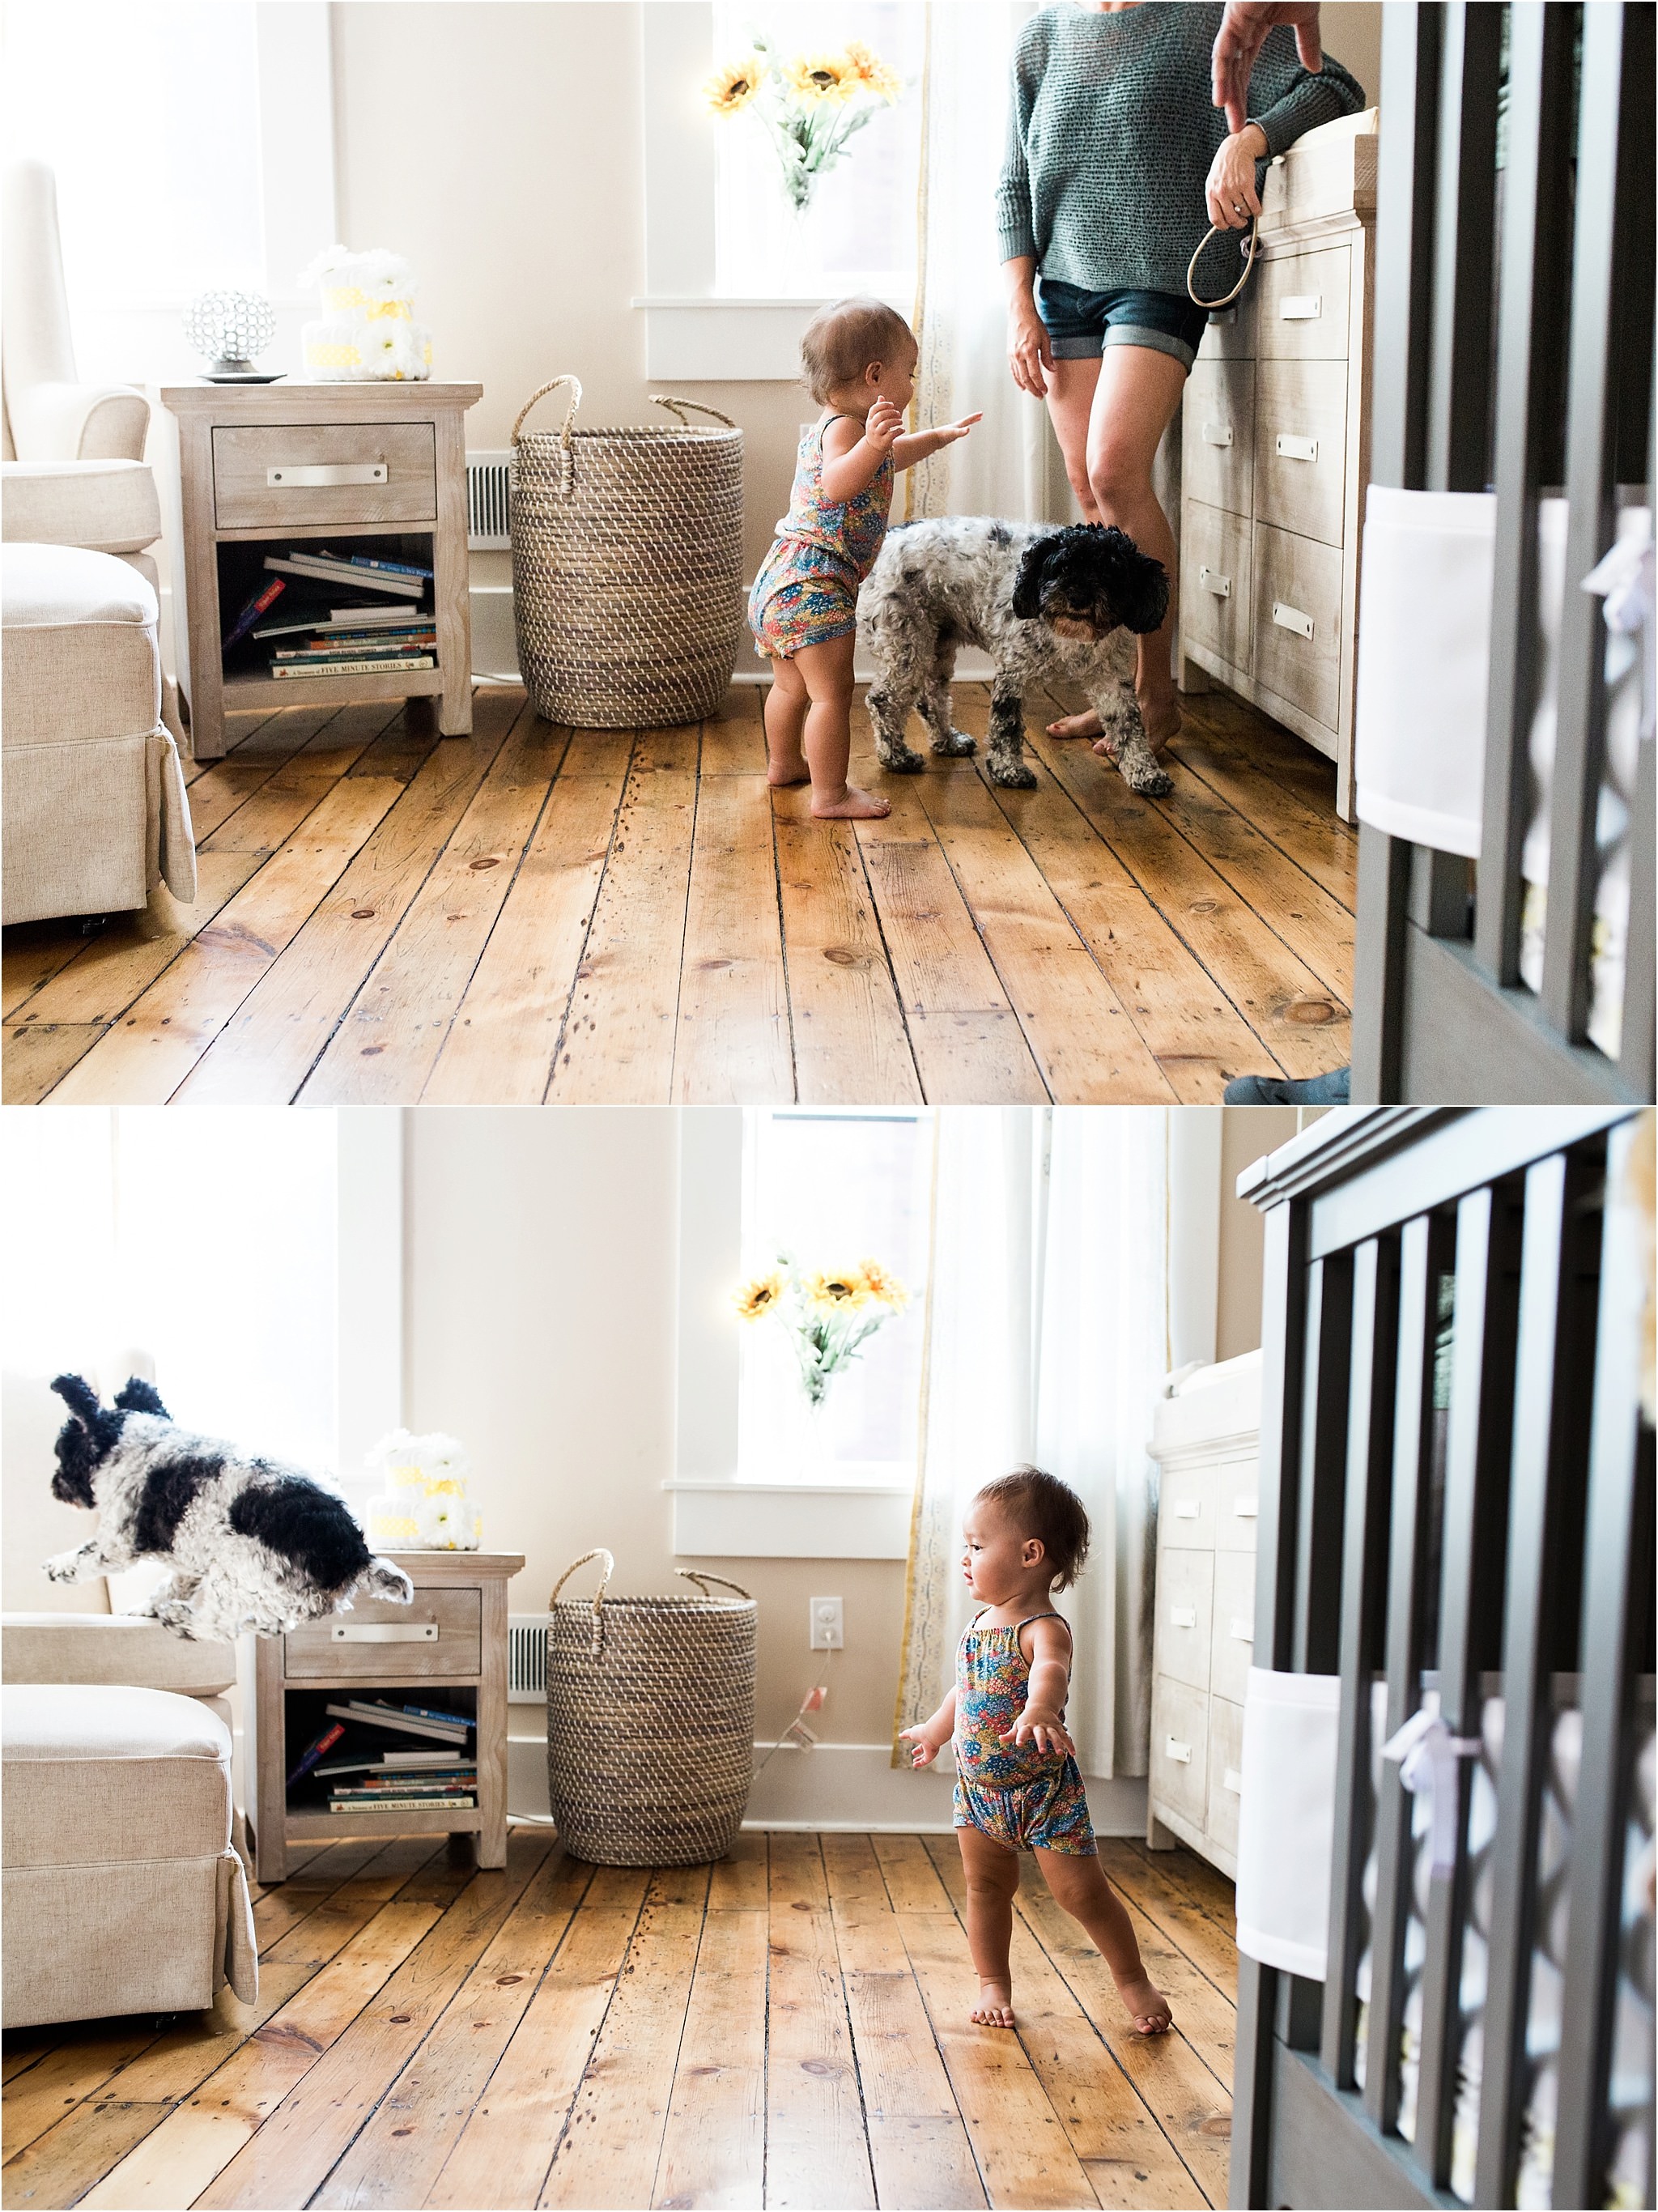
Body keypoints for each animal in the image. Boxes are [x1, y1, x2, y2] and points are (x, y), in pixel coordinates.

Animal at [46, 1362, 415, 1645]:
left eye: (62, 1451)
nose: (54, 1486)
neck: (134, 1443)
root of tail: (354, 1555)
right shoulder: (187, 1567)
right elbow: (169, 1585)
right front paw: (143, 1608)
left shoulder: (118, 1541)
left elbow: (86, 1558)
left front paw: (57, 1568)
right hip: (278, 1591)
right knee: (273, 1622)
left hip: (235, 1571)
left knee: (218, 1627)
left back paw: (182, 1620)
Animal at [861, 517, 1175, 796]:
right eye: (1062, 567)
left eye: (1110, 572)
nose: (1078, 597)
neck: (1069, 637)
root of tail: (889, 537)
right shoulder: (1013, 672)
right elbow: (1007, 725)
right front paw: (1008, 771)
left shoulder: (1110, 678)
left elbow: (1129, 724)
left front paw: (1146, 774)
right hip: (906, 643)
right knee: (883, 701)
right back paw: (897, 757)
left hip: (936, 644)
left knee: (930, 699)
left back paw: (948, 742)